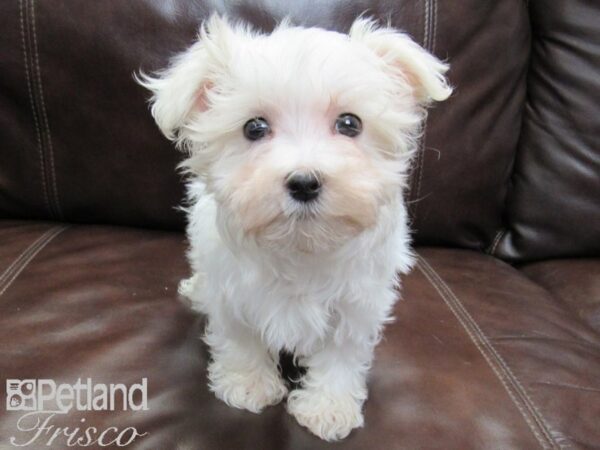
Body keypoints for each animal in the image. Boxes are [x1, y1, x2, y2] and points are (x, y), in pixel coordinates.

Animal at [139, 15, 450, 442]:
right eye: (254, 127)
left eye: (349, 123)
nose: (304, 182)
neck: (300, 245)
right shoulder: (230, 287)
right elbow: (239, 334)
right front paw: (247, 383)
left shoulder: (358, 300)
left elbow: (342, 350)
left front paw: (328, 406)